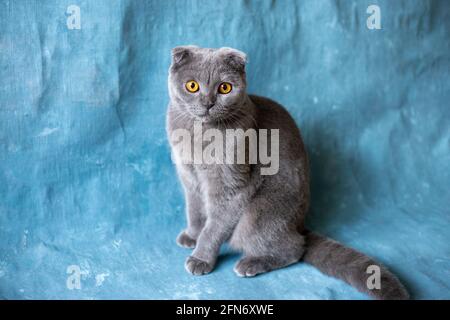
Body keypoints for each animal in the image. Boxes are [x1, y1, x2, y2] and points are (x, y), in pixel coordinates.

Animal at [167, 45, 410, 300]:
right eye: (191, 86)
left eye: (225, 88)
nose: (208, 103)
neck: (198, 137)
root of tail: (299, 225)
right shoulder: (190, 179)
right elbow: (195, 212)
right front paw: (192, 236)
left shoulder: (230, 187)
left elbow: (214, 228)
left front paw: (200, 258)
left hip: (258, 214)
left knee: (295, 248)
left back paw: (251, 263)